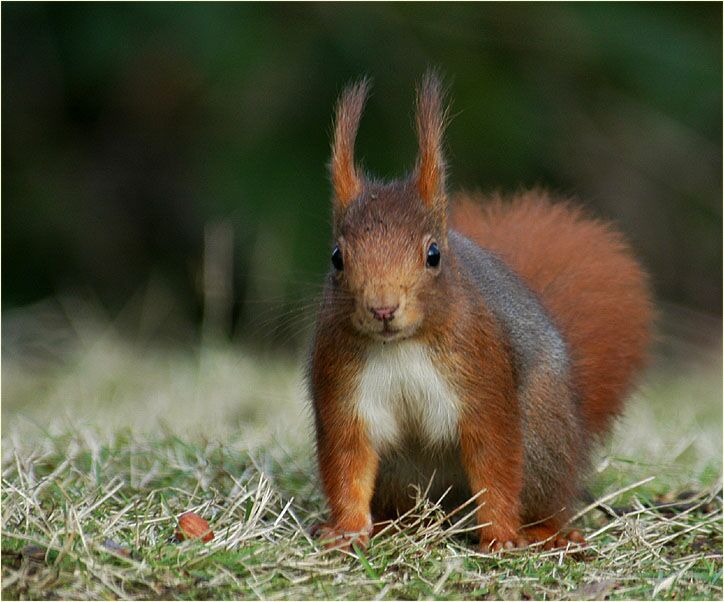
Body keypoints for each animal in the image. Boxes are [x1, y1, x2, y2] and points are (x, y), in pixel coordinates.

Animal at [308, 71, 652, 552]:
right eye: (337, 258)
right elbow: (348, 462)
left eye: (434, 254)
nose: (383, 308)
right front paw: (346, 530)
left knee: (547, 499)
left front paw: (502, 537)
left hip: (542, 442)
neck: (402, 346)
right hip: (403, 474)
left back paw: (544, 532)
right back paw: (398, 524)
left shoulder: (483, 381)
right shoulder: (343, 390)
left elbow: (495, 464)